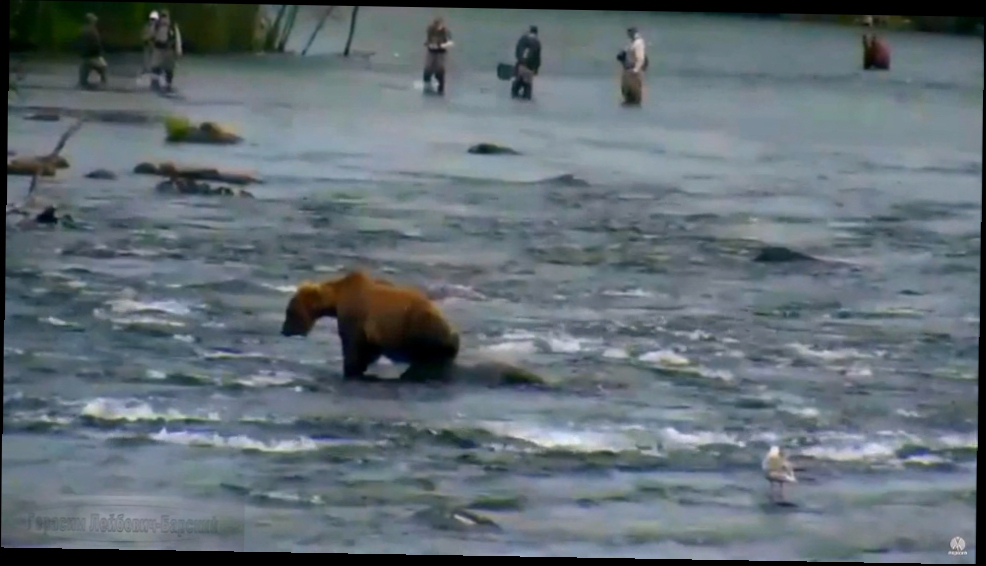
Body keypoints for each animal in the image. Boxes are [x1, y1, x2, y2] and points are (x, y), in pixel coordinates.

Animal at [278, 270, 460, 382]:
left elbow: (353, 348)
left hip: (418, 330)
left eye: (290, 311)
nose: (284, 330)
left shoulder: (355, 316)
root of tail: (452, 334)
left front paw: (351, 370)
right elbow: (369, 350)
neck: (336, 299)